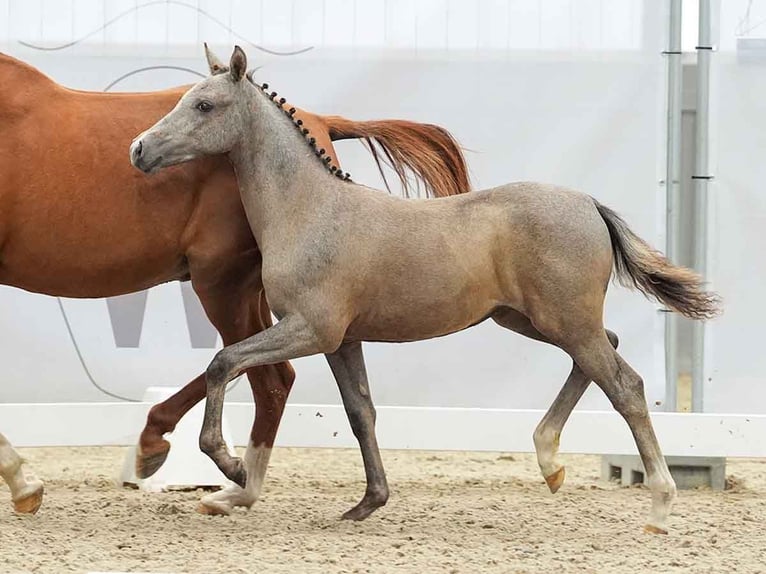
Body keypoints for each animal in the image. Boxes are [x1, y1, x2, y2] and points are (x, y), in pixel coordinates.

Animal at [0, 51, 468, 516]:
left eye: (205, 106)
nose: (138, 150)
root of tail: (319, 120)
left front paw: (24, 484)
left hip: (222, 282)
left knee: (268, 377)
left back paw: (225, 474)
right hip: (250, 290)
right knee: (262, 370)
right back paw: (202, 468)